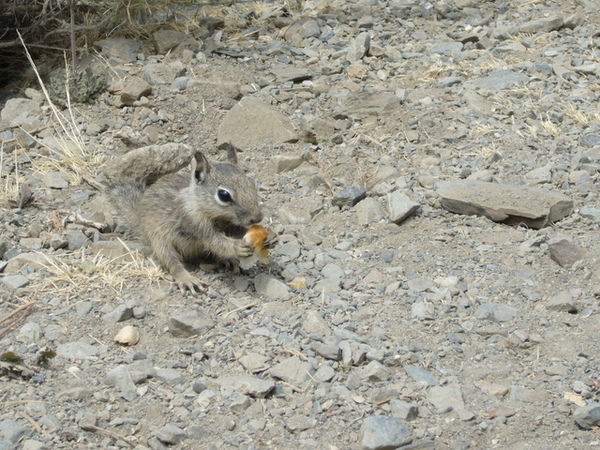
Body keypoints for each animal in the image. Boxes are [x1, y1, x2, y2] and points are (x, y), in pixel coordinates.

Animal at [105, 143, 274, 292]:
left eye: (251, 184)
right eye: (224, 195)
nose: (257, 218)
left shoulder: (230, 224)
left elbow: (237, 232)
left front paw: (272, 236)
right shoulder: (194, 222)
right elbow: (216, 242)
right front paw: (237, 247)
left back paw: (229, 260)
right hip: (159, 241)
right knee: (172, 262)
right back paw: (187, 278)